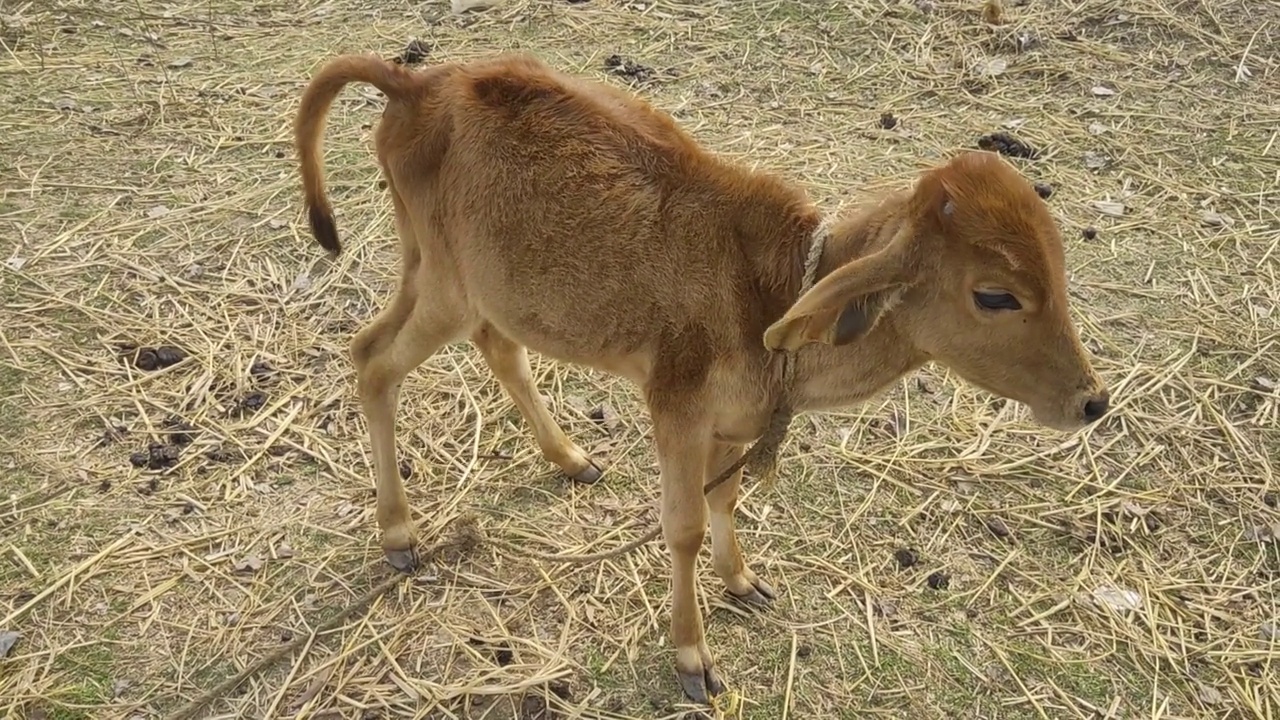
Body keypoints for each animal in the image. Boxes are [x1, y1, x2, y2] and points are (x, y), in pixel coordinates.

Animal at [294, 53, 1105, 702]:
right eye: (995, 295)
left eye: (1060, 262)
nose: (1091, 400)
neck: (768, 293)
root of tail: (416, 83)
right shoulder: (676, 410)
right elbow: (681, 526)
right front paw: (692, 656)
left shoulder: (734, 423)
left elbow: (728, 499)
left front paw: (741, 580)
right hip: (444, 286)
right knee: (371, 359)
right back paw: (399, 532)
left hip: (476, 289)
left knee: (495, 348)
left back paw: (570, 458)